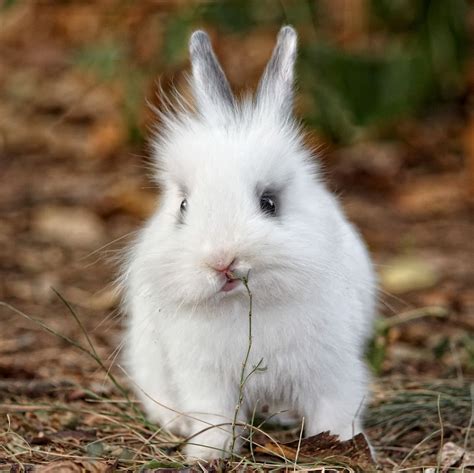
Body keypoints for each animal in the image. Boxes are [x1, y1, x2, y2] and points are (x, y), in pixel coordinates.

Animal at [123, 26, 378, 460]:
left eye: (269, 203)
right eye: (183, 206)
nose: (222, 260)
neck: (245, 306)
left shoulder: (332, 371)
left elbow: (335, 412)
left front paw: (344, 445)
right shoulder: (205, 379)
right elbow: (215, 419)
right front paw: (207, 455)